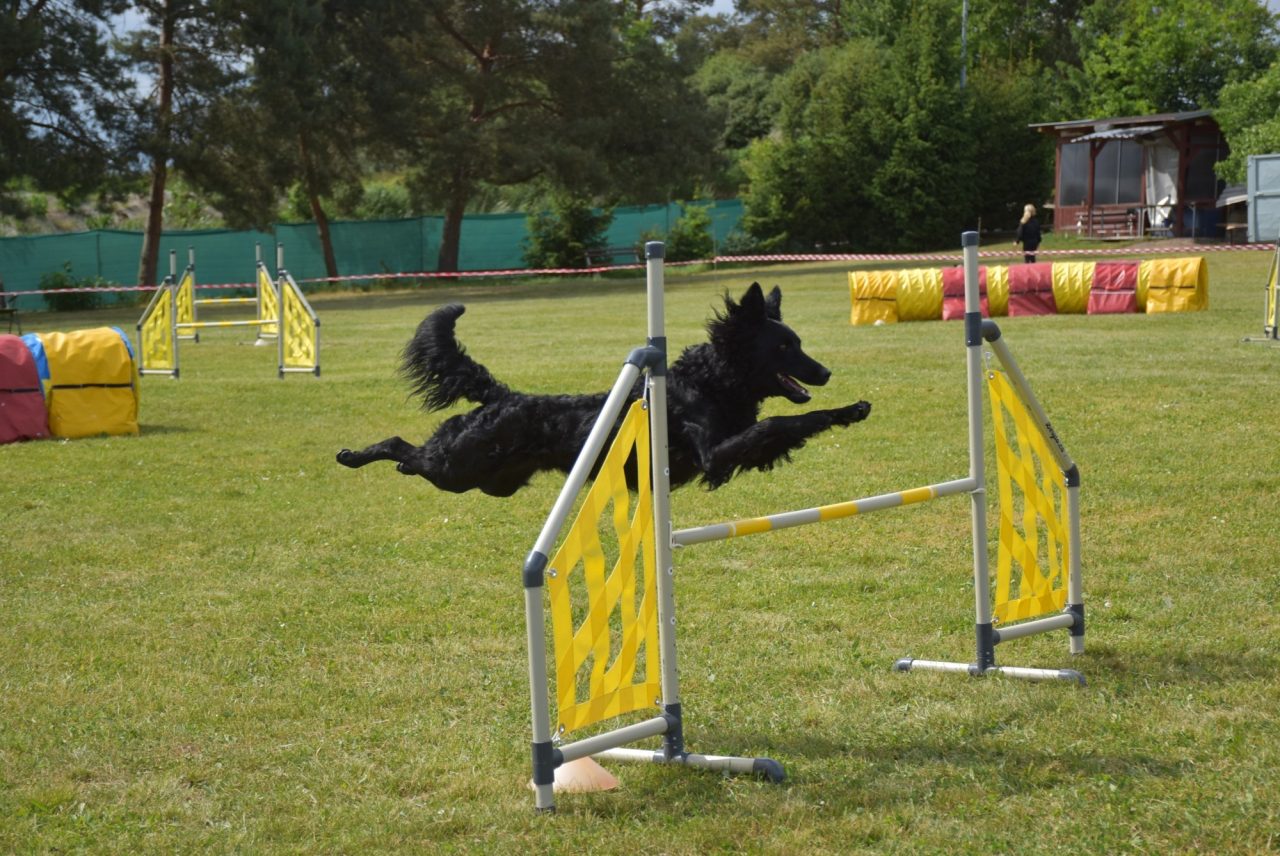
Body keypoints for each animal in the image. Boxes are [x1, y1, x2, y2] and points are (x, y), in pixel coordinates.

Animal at [336, 282, 871, 496]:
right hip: (457, 466)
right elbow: (782, 420)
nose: (825, 373)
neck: (711, 381)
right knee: (402, 445)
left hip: (491, 482)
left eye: (797, 343)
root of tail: (502, 396)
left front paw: (849, 410)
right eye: (783, 347)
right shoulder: (714, 455)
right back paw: (352, 456)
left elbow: (793, 424)